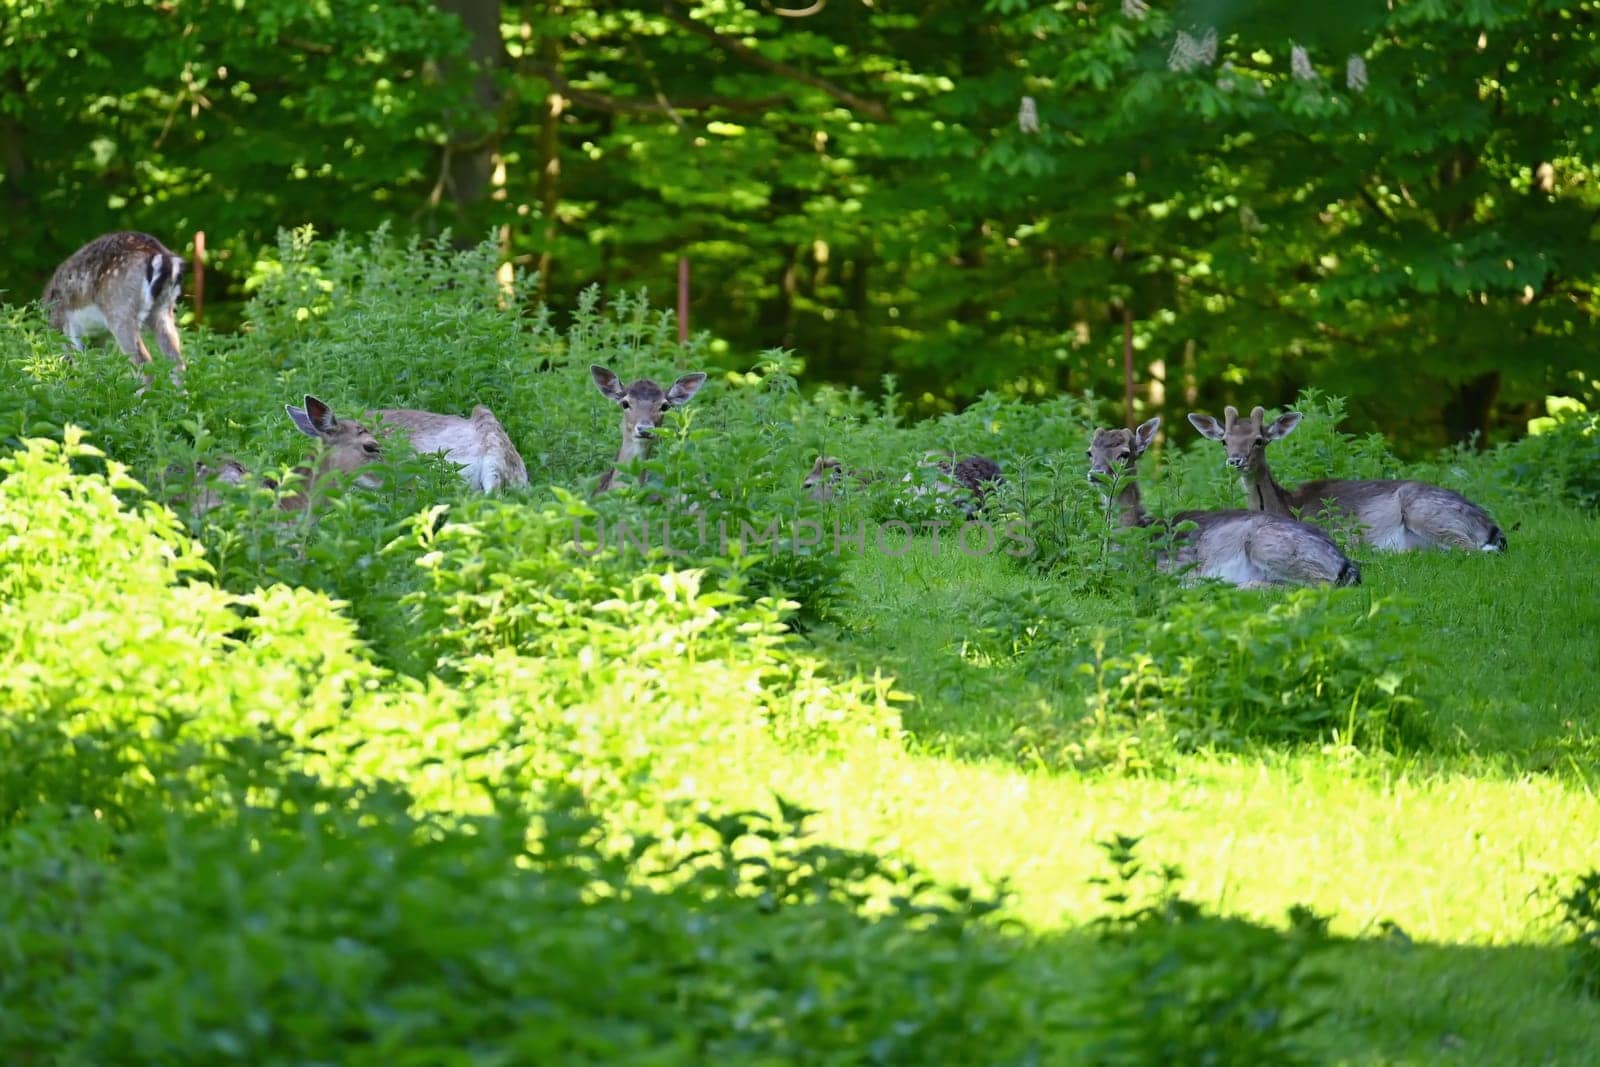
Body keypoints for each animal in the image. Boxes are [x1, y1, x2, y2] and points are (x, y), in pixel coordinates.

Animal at [42, 230, 187, 388]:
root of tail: (162, 257)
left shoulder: (67, 326)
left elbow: (80, 360)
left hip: (120, 311)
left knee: (144, 363)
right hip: (163, 309)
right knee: (177, 361)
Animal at [1081, 415, 1356, 588]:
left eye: (1124, 454)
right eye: (1089, 452)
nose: (1095, 473)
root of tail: (1344, 563)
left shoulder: (1169, 566)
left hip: (1268, 545)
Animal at [1190, 404, 1510, 556]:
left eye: (1259, 440)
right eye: (1224, 441)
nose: (1235, 460)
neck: (1286, 507)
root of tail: (1491, 526)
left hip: (1427, 511)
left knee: (1471, 549)